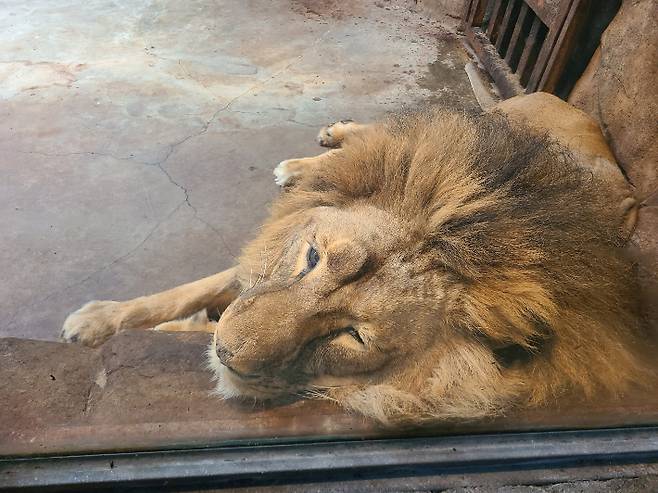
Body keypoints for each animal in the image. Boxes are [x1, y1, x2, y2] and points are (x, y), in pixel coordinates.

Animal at [61, 92, 644, 422]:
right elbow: (186, 291)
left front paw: (179, 332)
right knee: (396, 133)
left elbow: (203, 318)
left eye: (353, 336)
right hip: (485, 122)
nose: (229, 355)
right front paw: (97, 320)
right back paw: (322, 146)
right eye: (311, 258)